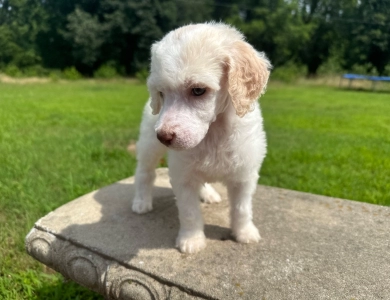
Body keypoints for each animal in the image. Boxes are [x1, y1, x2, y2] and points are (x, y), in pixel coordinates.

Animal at [131, 22, 272, 253]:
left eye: (198, 90)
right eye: (161, 94)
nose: (163, 136)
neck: (213, 133)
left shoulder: (244, 174)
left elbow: (242, 208)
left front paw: (244, 233)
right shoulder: (183, 177)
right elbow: (189, 212)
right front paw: (192, 240)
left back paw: (209, 194)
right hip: (149, 143)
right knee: (145, 172)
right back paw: (141, 202)